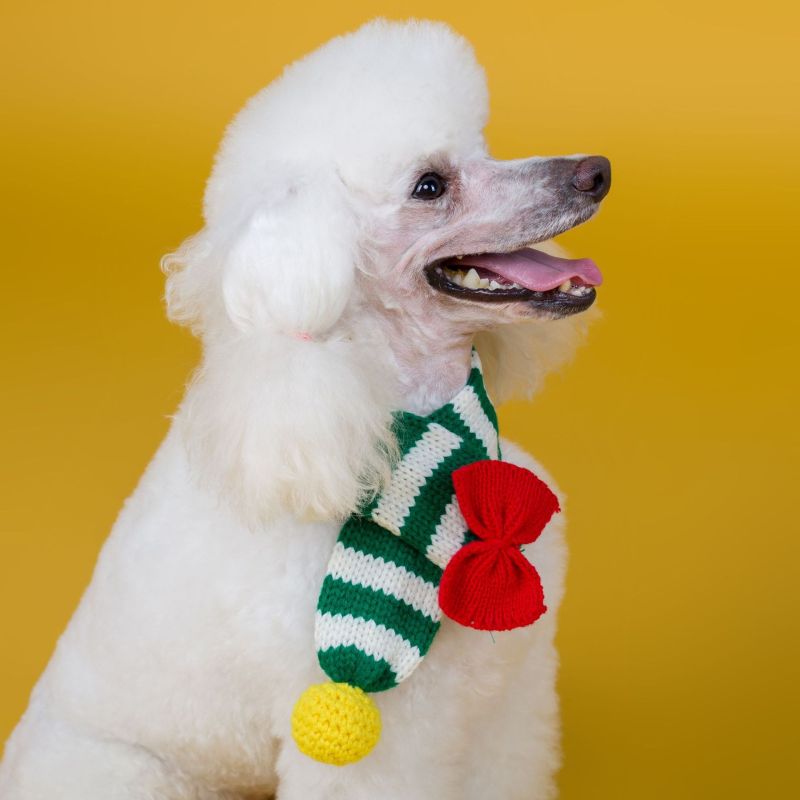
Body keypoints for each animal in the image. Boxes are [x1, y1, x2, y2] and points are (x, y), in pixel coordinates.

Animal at [0, 19, 610, 800]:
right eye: (430, 186)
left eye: (482, 147)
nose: (596, 171)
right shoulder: (382, 733)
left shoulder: (506, 699)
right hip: (122, 771)